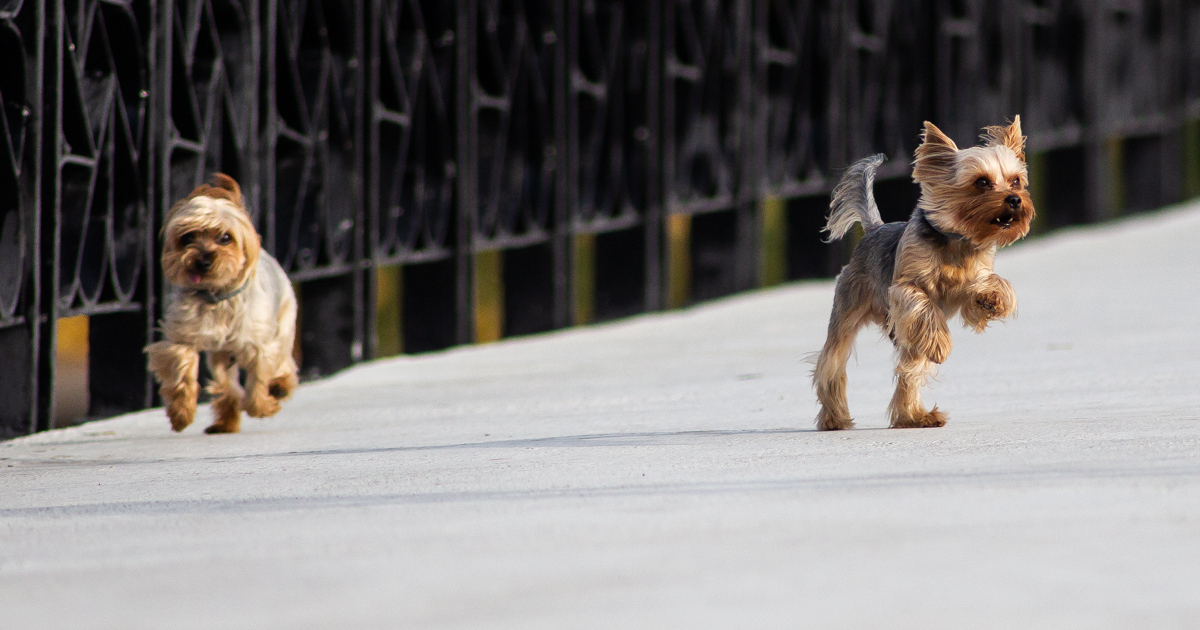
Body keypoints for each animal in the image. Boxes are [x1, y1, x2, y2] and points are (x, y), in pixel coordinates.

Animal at [145, 174, 297, 434]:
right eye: (188, 237)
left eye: (225, 238)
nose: (203, 261)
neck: (217, 296)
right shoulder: (182, 339)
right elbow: (182, 367)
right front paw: (181, 413)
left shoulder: (260, 344)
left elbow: (258, 380)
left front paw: (262, 405)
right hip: (222, 353)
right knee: (226, 383)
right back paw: (225, 421)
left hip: (284, 322)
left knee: (284, 362)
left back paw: (279, 387)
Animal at [811, 117, 1036, 429]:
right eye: (981, 182)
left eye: (1016, 181)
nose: (1015, 199)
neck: (956, 240)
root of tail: (874, 229)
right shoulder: (904, 290)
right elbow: (923, 304)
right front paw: (941, 344)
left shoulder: (973, 278)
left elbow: (987, 285)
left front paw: (993, 298)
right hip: (848, 310)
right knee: (831, 363)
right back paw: (834, 418)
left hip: (908, 339)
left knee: (909, 370)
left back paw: (914, 416)